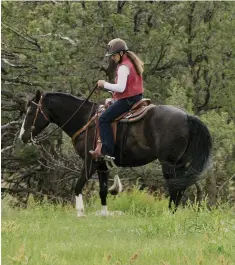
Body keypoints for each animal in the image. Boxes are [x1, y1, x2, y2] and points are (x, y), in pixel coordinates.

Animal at [19, 89, 212, 216]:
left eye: (30, 111)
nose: (23, 136)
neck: (85, 119)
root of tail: (187, 116)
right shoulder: (102, 165)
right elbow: (103, 191)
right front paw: (104, 215)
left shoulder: (90, 161)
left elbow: (78, 185)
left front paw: (80, 213)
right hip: (180, 163)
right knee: (180, 187)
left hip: (168, 163)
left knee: (174, 187)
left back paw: (170, 213)